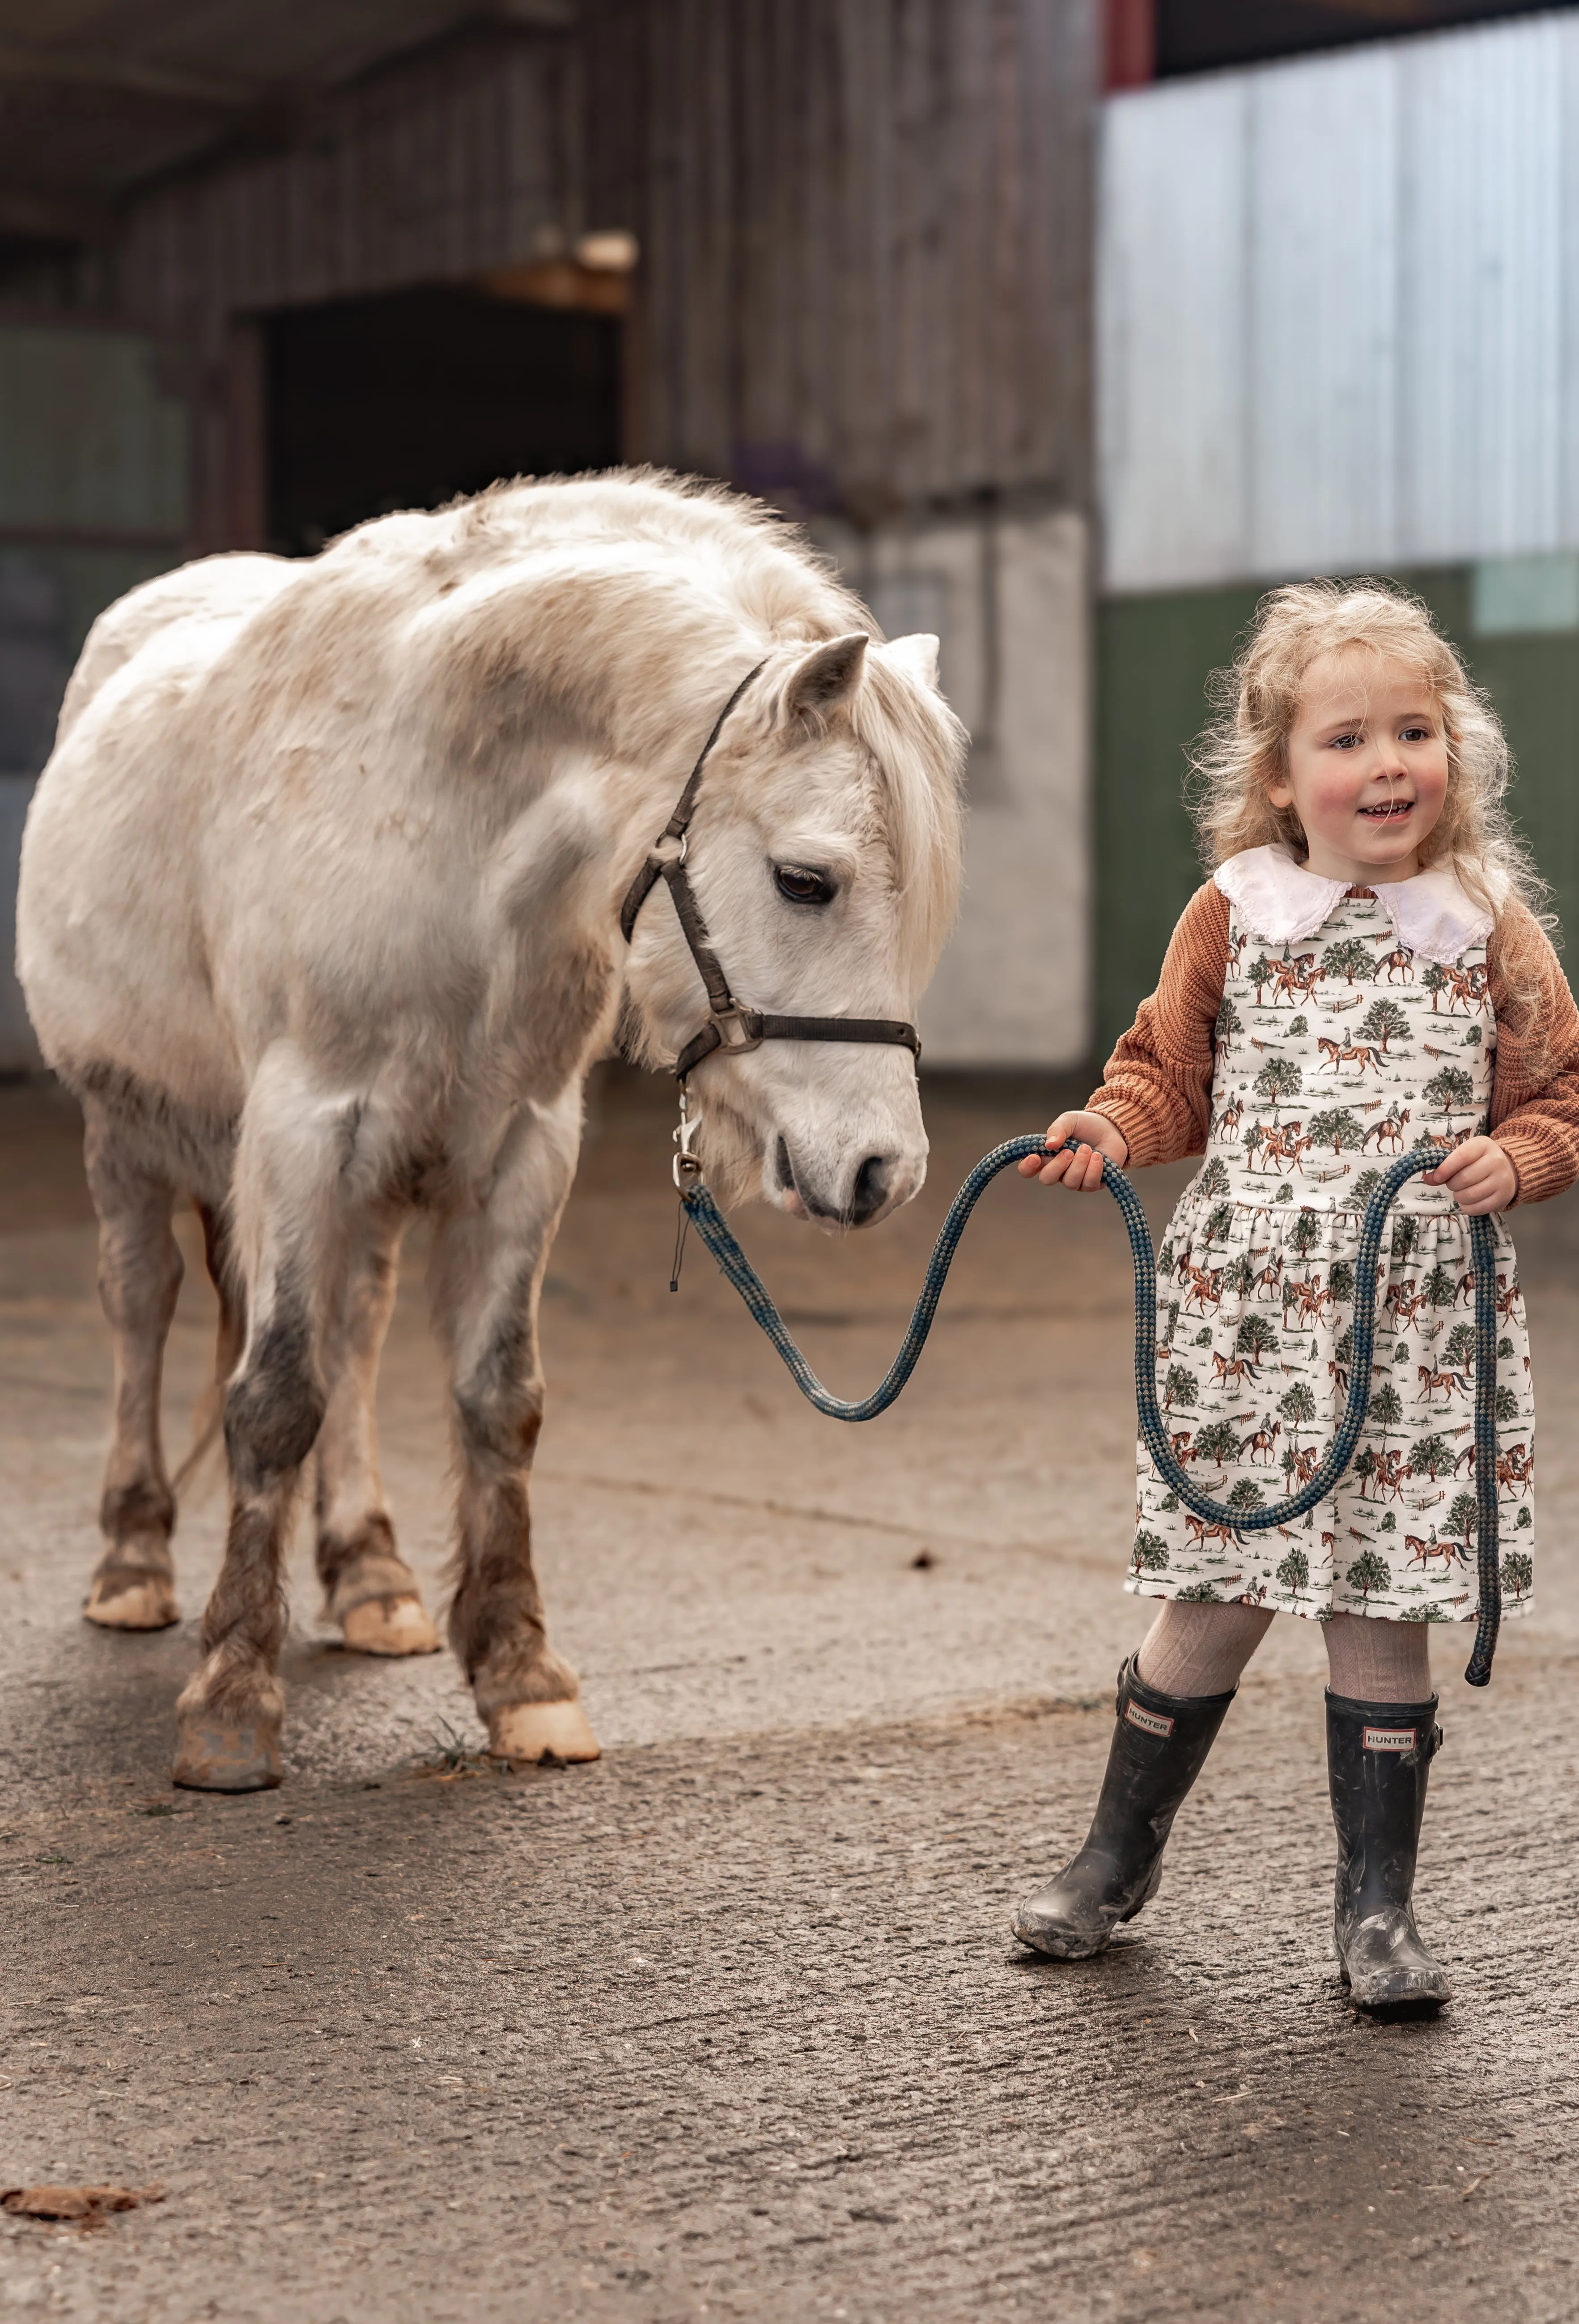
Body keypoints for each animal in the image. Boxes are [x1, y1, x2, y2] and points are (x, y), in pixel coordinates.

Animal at [18, 462, 970, 1784]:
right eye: (805, 880)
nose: (885, 1171)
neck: (437, 822)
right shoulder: (302, 1133)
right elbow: (273, 1396)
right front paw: (231, 1699)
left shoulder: (521, 1147)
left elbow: (494, 1399)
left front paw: (522, 1677)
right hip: (128, 1135)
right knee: (143, 1310)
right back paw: (134, 1561)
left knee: (356, 1333)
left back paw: (369, 1576)